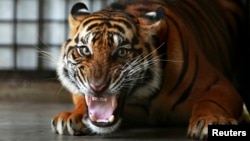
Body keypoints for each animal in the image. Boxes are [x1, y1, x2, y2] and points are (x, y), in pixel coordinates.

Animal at [50, 0, 248, 140]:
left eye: (122, 52)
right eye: (85, 50)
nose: (97, 87)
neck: (148, 97)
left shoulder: (218, 84)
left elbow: (210, 102)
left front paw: (211, 120)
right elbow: (82, 100)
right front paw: (71, 117)